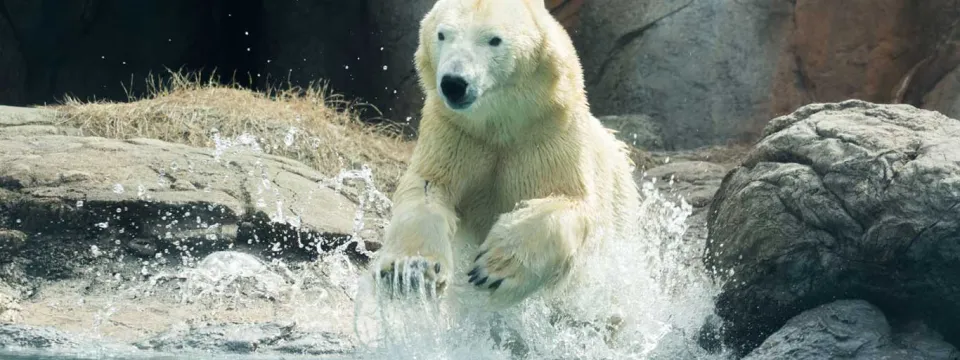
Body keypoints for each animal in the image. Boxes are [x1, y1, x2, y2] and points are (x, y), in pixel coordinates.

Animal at [372, 0, 640, 306]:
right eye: (442, 34)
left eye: (494, 40)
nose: (454, 83)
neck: (502, 125)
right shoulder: (456, 133)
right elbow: (429, 185)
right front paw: (412, 268)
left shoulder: (552, 135)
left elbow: (571, 202)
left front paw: (494, 268)